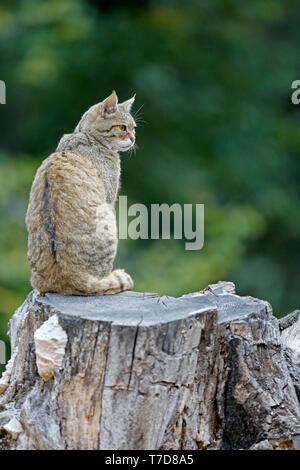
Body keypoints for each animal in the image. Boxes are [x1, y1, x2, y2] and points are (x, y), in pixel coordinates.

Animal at [25, 90, 136, 296]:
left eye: (134, 128)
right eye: (123, 127)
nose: (133, 139)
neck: (84, 134)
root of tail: (66, 276)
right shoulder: (109, 199)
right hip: (108, 220)